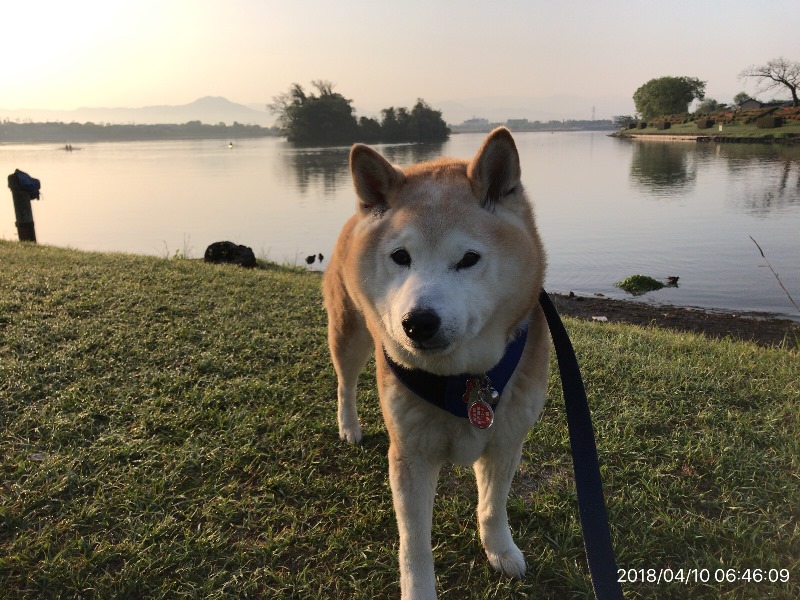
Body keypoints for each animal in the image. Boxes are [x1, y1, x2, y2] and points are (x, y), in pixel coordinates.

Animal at [323, 127, 551, 599]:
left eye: (468, 259)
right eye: (400, 256)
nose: (418, 322)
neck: (461, 379)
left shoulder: (506, 440)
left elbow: (493, 506)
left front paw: (500, 550)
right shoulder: (411, 455)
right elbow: (414, 543)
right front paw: (419, 589)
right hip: (349, 334)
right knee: (345, 383)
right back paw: (349, 425)